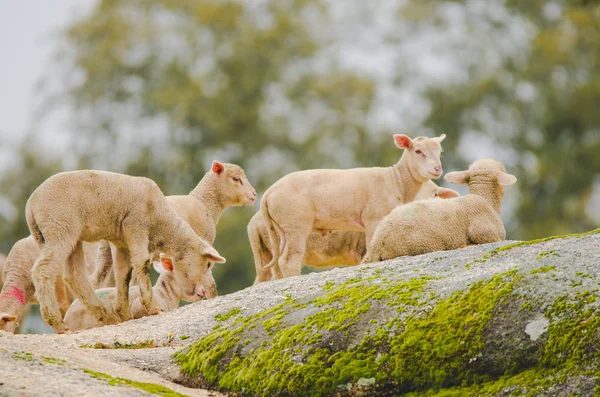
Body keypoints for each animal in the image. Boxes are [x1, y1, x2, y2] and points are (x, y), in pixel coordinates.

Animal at [22, 169, 225, 332]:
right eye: (208, 264)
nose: (201, 292)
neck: (163, 223)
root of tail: (30, 206)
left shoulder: (121, 241)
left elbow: (124, 273)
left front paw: (124, 313)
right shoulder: (136, 225)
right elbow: (142, 263)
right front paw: (152, 308)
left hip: (64, 236)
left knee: (75, 276)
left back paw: (107, 316)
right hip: (60, 227)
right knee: (43, 270)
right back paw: (57, 322)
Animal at [92, 159, 256, 296]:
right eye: (236, 178)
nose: (254, 194)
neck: (204, 203)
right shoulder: (204, 245)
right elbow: (209, 283)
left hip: (105, 252)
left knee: (96, 280)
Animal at [262, 132, 446, 276]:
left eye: (439, 152)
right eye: (418, 151)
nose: (437, 168)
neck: (396, 179)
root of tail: (269, 192)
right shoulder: (374, 218)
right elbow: (372, 245)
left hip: (282, 228)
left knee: (280, 261)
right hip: (296, 223)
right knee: (289, 260)